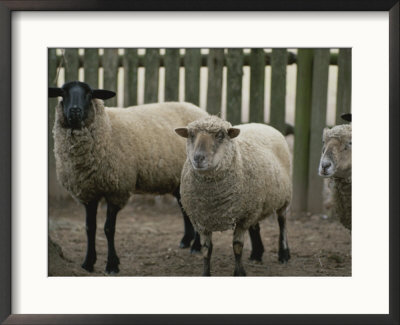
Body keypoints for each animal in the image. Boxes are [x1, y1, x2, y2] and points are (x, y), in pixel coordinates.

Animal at [175, 115, 290, 274]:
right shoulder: (201, 220)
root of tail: (262, 124)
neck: (212, 199)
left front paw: (239, 273)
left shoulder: (242, 219)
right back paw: (256, 254)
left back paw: (284, 254)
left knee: (282, 223)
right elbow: (206, 250)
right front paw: (205, 273)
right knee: (255, 227)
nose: (198, 158)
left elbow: (237, 247)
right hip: (254, 204)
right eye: (191, 135)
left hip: (283, 198)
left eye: (220, 135)